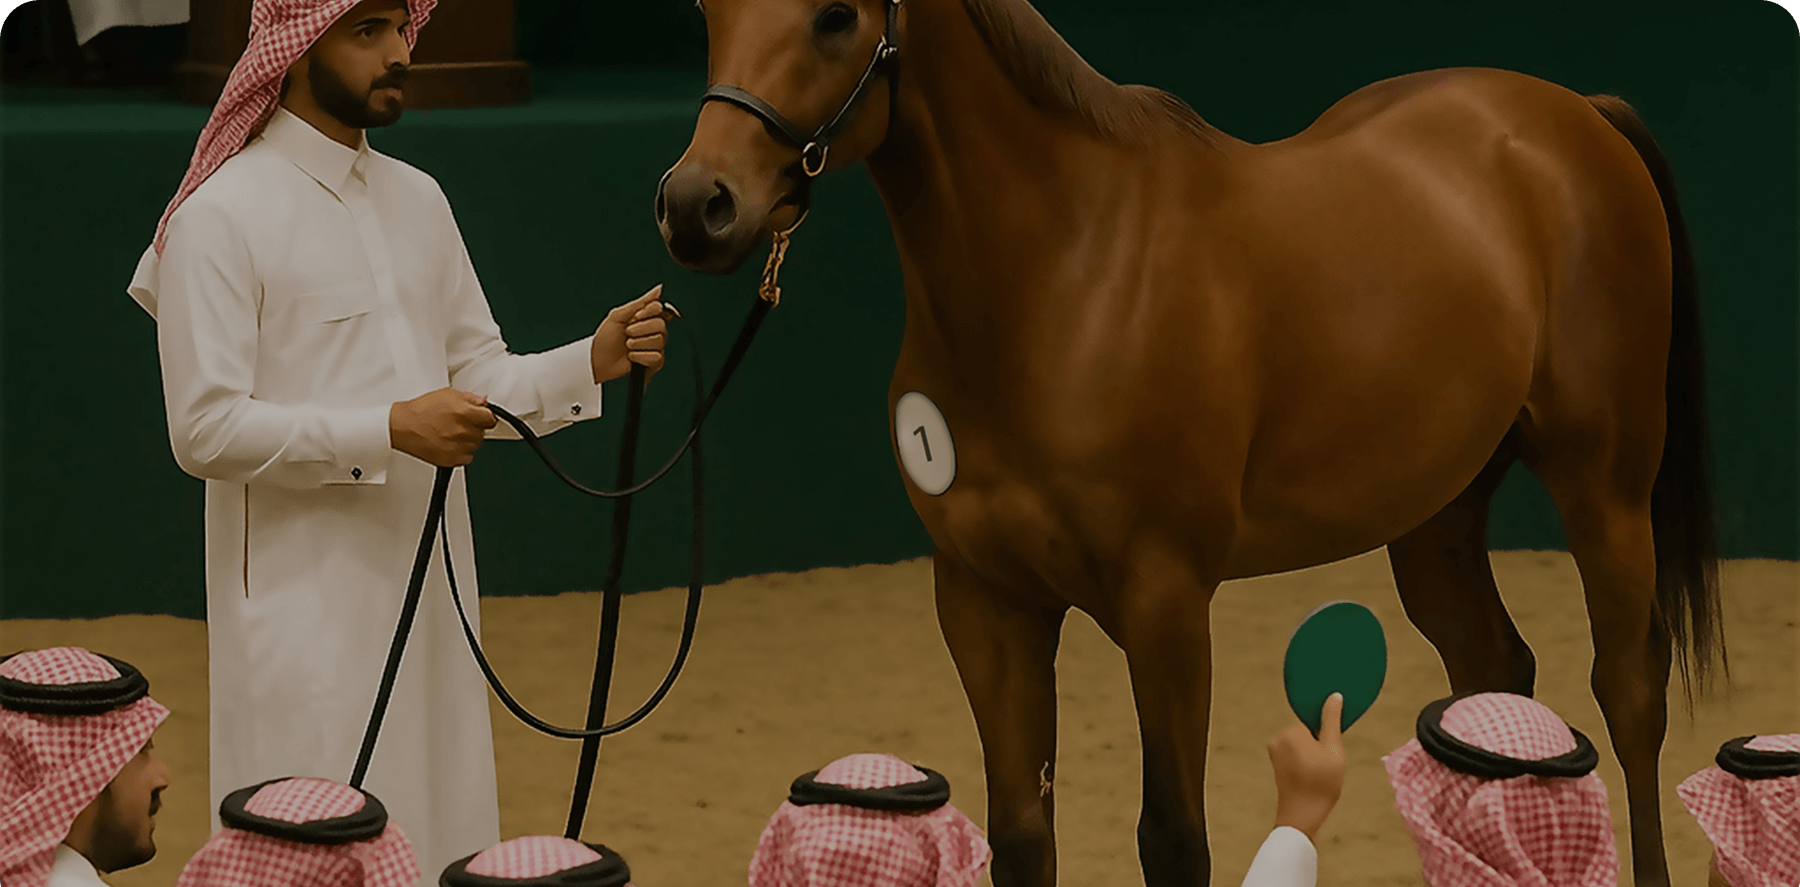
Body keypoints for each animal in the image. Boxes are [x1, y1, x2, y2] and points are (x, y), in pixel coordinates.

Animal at [652, 0, 1729, 884]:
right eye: (707, 9)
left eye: (837, 16)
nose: (697, 205)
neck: (1066, 275)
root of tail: (1575, 114)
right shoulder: (983, 601)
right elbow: (1022, 834)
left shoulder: (1164, 600)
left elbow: (1172, 836)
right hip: (1437, 513)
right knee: (1493, 674)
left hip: (1605, 486)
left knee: (1629, 693)